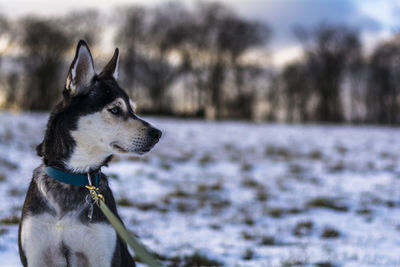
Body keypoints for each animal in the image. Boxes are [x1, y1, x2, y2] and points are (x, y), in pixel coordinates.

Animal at [17, 40, 161, 267]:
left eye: (133, 109)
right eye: (115, 110)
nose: (157, 134)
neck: (73, 177)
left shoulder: (102, 253)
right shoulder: (37, 253)